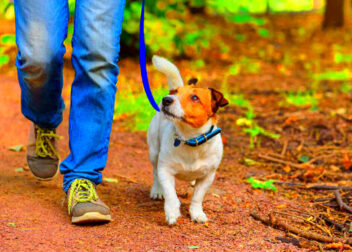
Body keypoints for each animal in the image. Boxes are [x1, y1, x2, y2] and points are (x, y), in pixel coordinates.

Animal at [146, 56, 228, 225]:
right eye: (176, 93)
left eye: (195, 98)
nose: (166, 99)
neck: (190, 139)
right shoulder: (165, 170)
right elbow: (170, 193)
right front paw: (172, 212)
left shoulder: (208, 176)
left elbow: (197, 197)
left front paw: (197, 213)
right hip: (154, 152)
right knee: (155, 172)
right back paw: (157, 190)